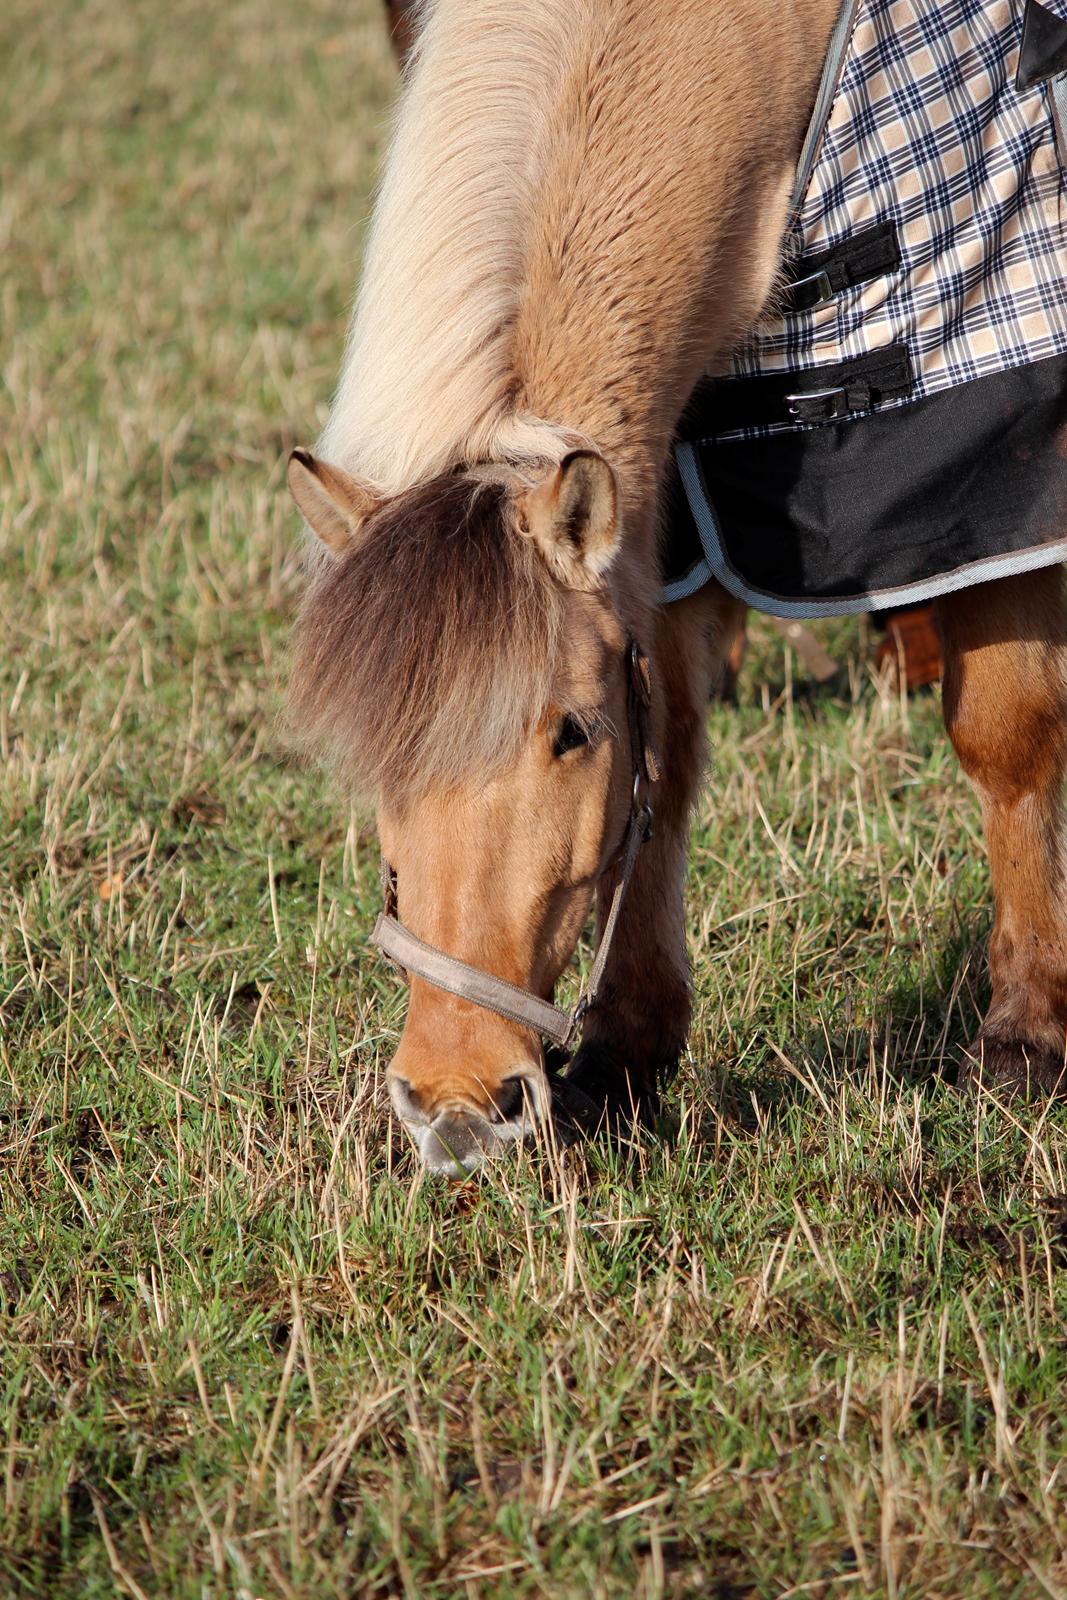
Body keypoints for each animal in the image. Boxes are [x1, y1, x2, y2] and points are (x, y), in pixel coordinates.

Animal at [287, 0, 1067, 1177]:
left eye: (571, 734)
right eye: (380, 757)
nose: (457, 1103)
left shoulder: (978, 426)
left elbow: (1006, 734)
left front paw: (1023, 1036)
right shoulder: (673, 499)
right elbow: (675, 747)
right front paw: (625, 1056)